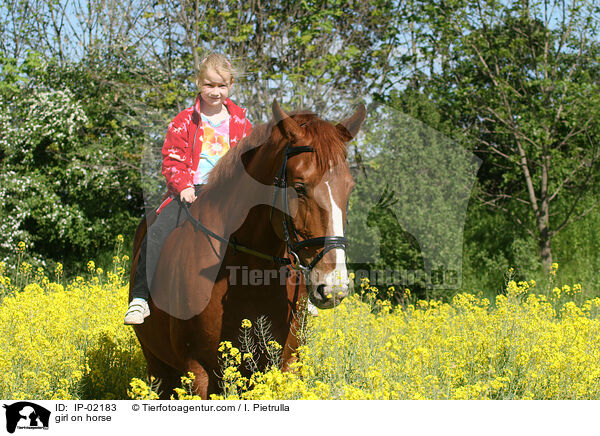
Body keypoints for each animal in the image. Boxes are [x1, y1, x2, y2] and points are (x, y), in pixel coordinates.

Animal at [130, 99, 366, 398]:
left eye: (349, 189)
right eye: (299, 188)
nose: (333, 286)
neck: (251, 272)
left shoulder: (286, 364)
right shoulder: (197, 371)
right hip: (157, 365)